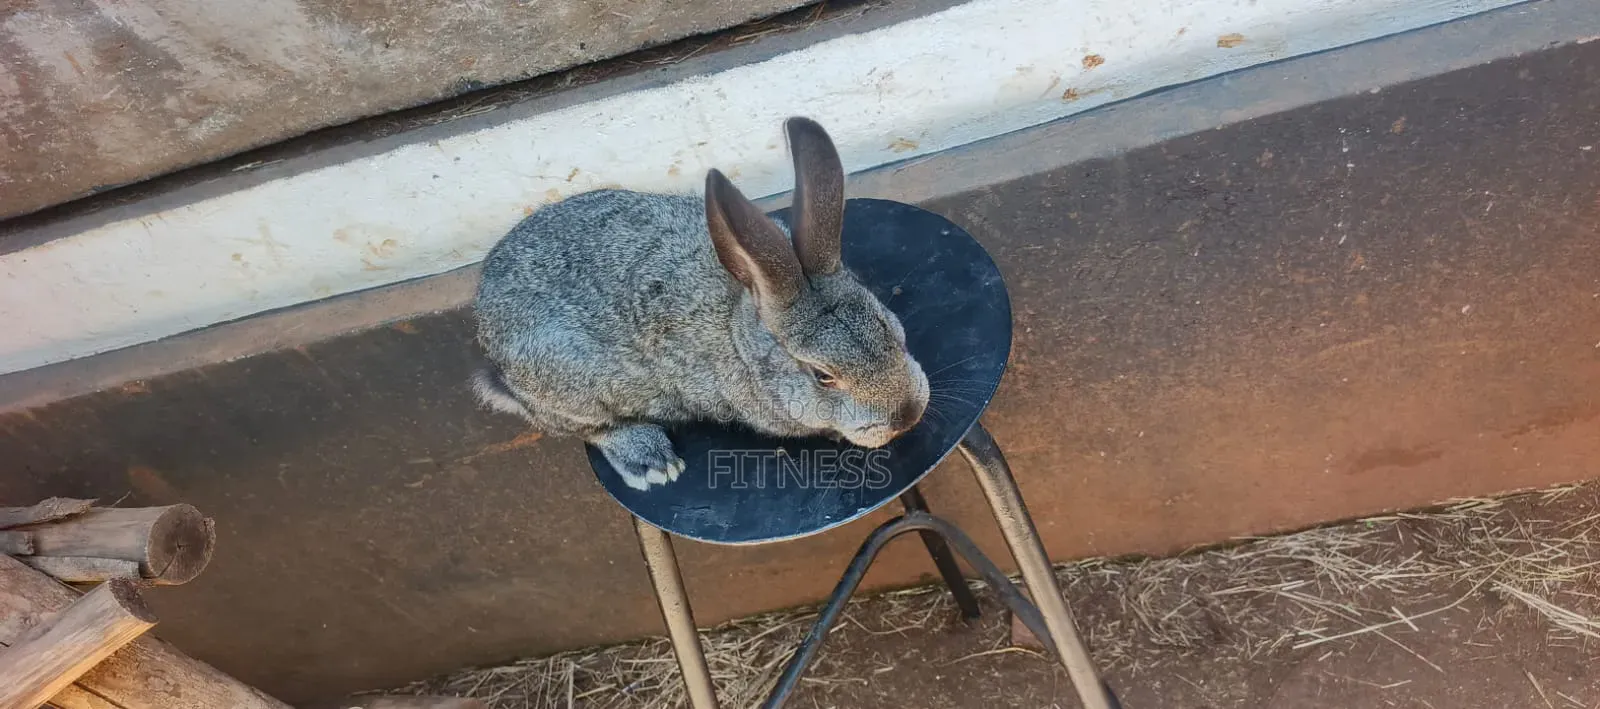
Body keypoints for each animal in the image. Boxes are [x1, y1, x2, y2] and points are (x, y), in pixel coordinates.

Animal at [471, 117, 929, 491]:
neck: (741, 329)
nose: (906, 415)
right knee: (581, 427)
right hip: (567, 379)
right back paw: (651, 460)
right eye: (823, 376)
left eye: (890, 328)